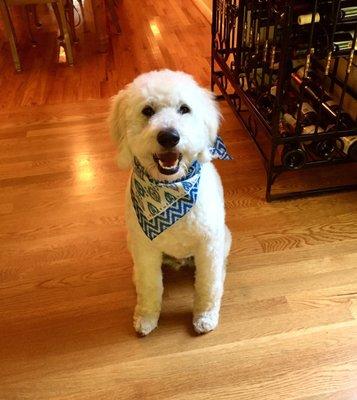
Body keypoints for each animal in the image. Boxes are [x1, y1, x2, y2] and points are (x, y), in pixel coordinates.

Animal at [108, 69, 231, 334]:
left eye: (184, 109)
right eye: (147, 110)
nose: (169, 137)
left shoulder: (208, 246)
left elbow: (207, 285)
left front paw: (205, 316)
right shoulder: (145, 249)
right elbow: (150, 286)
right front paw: (146, 317)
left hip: (224, 238)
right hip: (132, 242)